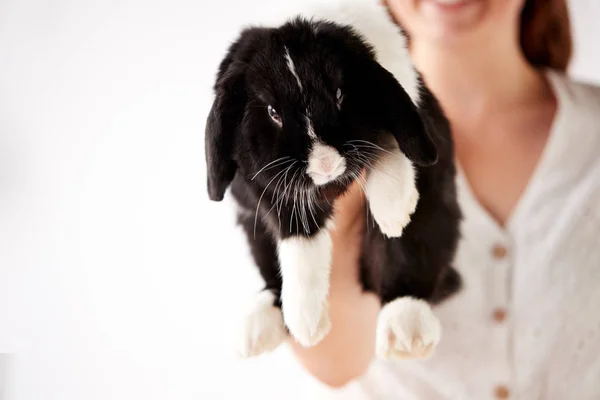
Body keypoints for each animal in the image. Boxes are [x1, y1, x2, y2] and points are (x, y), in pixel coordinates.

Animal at [204, 0, 462, 362]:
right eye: (272, 112)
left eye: (339, 93)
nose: (326, 164)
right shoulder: (270, 194)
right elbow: (300, 246)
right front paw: (307, 325)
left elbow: (387, 142)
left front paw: (394, 210)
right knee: (270, 275)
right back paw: (258, 329)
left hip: (434, 214)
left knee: (409, 261)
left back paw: (406, 333)